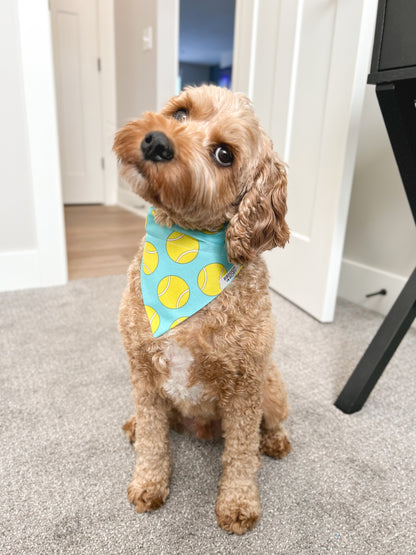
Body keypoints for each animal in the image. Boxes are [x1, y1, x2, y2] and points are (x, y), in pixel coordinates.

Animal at [112, 86, 290, 536]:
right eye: (180, 112)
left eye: (224, 154)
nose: (156, 142)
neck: (183, 245)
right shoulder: (142, 369)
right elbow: (154, 440)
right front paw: (148, 483)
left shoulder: (245, 387)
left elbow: (241, 454)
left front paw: (239, 505)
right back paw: (135, 425)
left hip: (271, 385)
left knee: (271, 422)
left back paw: (275, 440)